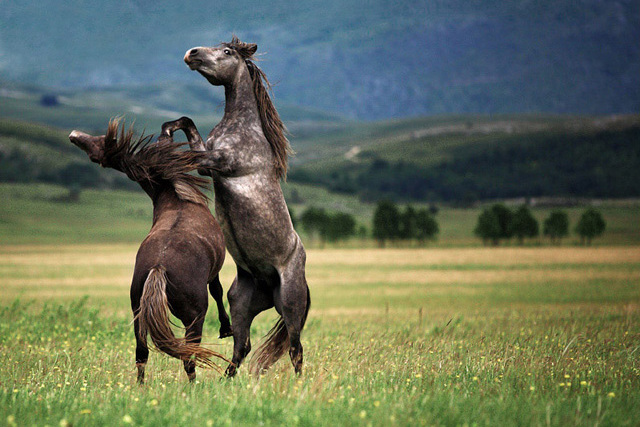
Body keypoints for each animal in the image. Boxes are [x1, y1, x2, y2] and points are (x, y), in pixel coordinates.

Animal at [69, 118, 232, 384]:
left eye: (98, 144)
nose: (73, 135)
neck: (178, 199)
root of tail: (159, 267)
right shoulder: (214, 270)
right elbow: (218, 291)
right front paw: (226, 329)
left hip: (138, 313)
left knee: (142, 353)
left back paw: (141, 387)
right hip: (193, 317)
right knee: (189, 357)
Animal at [161, 36, 310, 377]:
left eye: (227, 52)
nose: (191, 54)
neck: (242, 127)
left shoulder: (220, 162)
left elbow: (191, 155)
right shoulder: (209, 163)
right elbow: (187, 123)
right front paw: (167, 129)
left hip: (291, 305)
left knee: (295, 349)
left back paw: (299, 384)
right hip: (241, 303)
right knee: (242, 346)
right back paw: (225, 382)